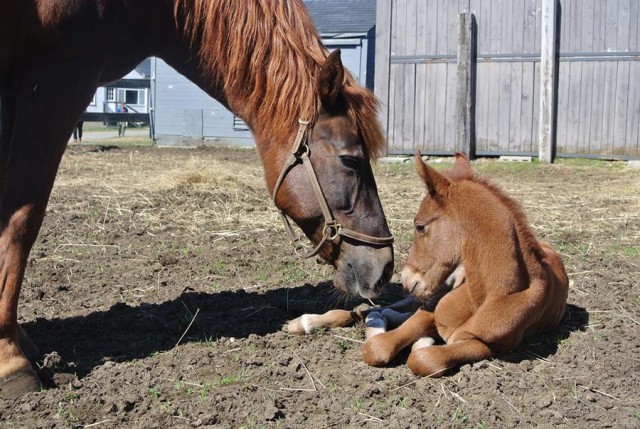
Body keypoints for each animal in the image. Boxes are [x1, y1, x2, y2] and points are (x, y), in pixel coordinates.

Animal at [288, 153, 568, 374]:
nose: (406, 279)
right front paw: (388, 332)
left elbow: (423, 359)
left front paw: (420, 343)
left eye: (420, 226)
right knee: (373, 310)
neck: (491, 295)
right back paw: (307, 322)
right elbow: (378, 346)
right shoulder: (430, 310)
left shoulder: (487, 345)